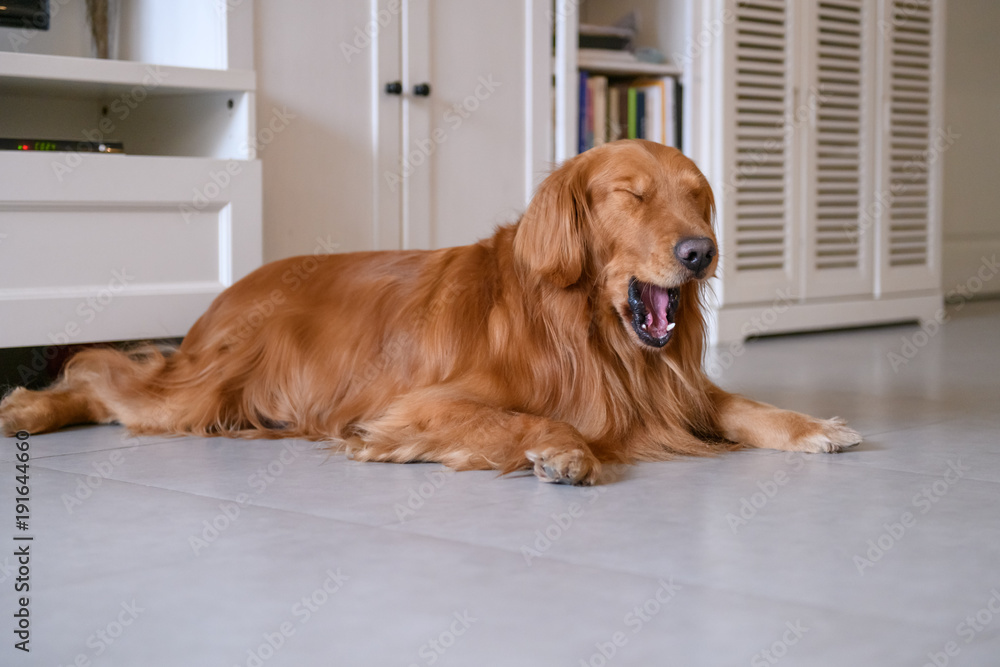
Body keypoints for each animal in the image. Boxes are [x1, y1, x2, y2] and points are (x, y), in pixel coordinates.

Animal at [0, 141, 860, 486]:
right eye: (631, 194)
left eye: (697, 196)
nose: (700, 252)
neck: (588, 335)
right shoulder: (416, 403)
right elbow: (538, 418)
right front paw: (563, 450)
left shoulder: (672, 389)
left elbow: (740, 404)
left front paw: (810, 425)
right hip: (203, 389)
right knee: (103, 376)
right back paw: (25, 408)